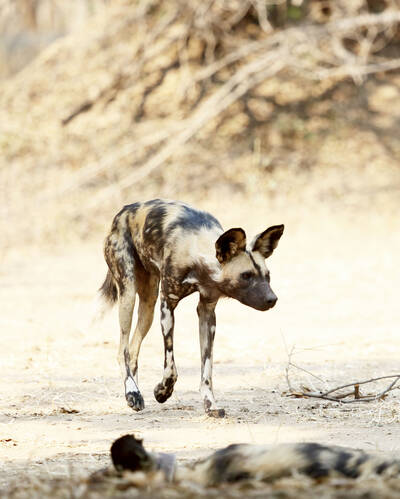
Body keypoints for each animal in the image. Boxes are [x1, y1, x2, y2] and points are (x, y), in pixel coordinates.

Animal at [98, 199, 282, 418]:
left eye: (267, 275)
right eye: (246, 275)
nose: (272, 299)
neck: (197, 254)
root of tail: (124, 210)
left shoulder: (207, 312)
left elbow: (207, 370)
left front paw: (210, 405)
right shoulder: (167, 305)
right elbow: (171, 366)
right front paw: (162, 391)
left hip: (148, 305)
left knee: (133, 350)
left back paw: (135, 393)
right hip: (128, 294)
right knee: (122, 350)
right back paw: (132, 392)